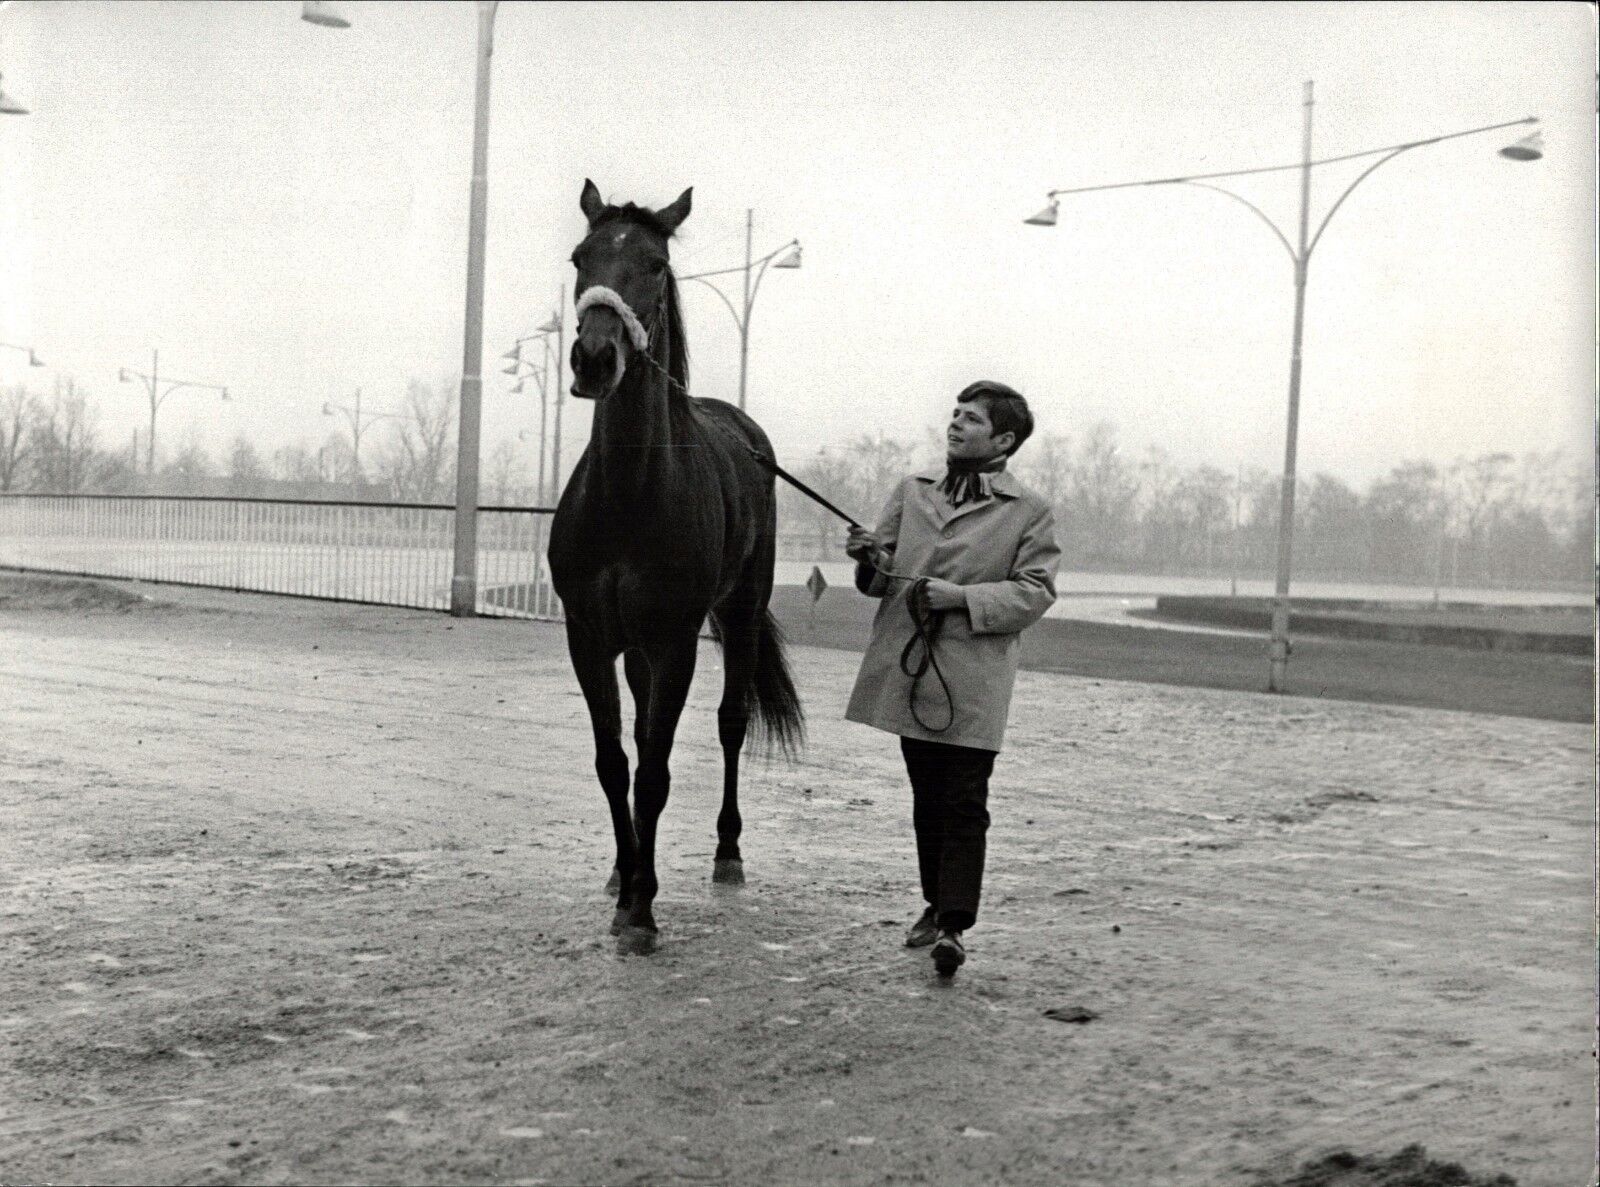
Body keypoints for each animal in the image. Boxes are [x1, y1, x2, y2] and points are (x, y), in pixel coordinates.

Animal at [550, 183, 806, 959]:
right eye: (580, 256)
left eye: (658, 265)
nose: (594, 357)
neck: (630, 496)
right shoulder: (589, 635)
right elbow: (616, 763)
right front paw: (625, 881)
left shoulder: (677, 641)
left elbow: (657, 771)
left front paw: (643, 908)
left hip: (740, 614)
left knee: (730, 724)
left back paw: (727, 853)